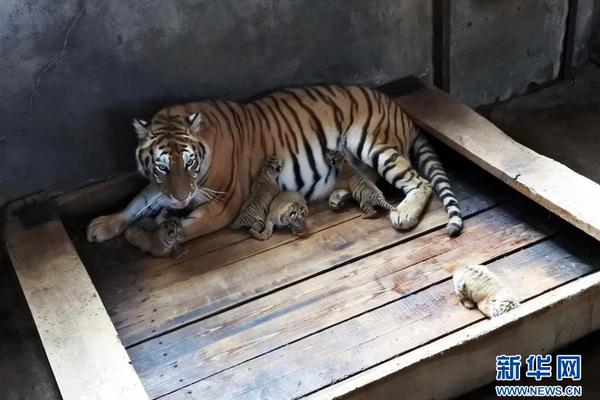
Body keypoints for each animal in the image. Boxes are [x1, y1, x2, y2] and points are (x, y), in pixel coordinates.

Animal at [86, 85, 464, 255]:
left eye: (190, 163)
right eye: (162, 167)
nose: (179, 200)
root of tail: (399, 109)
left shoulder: (221, 206)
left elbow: (179, 231)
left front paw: (146, 238)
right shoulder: (158, 187)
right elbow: (136, 203)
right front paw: (102, 225)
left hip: (373, 144)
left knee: (419, 181)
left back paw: (404, 214)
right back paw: (340, 197)